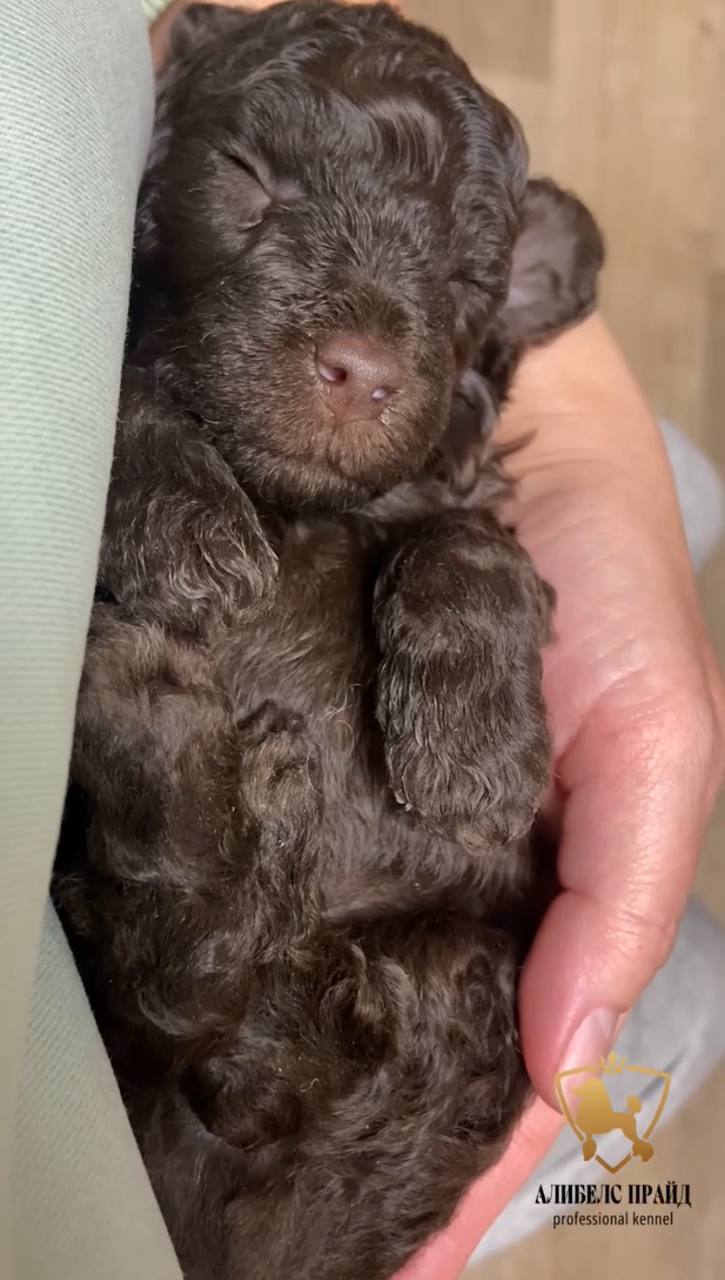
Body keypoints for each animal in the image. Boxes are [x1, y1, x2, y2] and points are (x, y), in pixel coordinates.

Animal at [55, 4, 604, 1278]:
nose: (361, 370)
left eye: (466, 278)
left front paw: (473, 751)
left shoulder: (471, 496)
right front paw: (189, 531)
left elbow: (468, 544)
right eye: (246, 175)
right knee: (178, 983)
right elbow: (133, 397)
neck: (292, 497)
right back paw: (162, 713)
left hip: (458, 980)